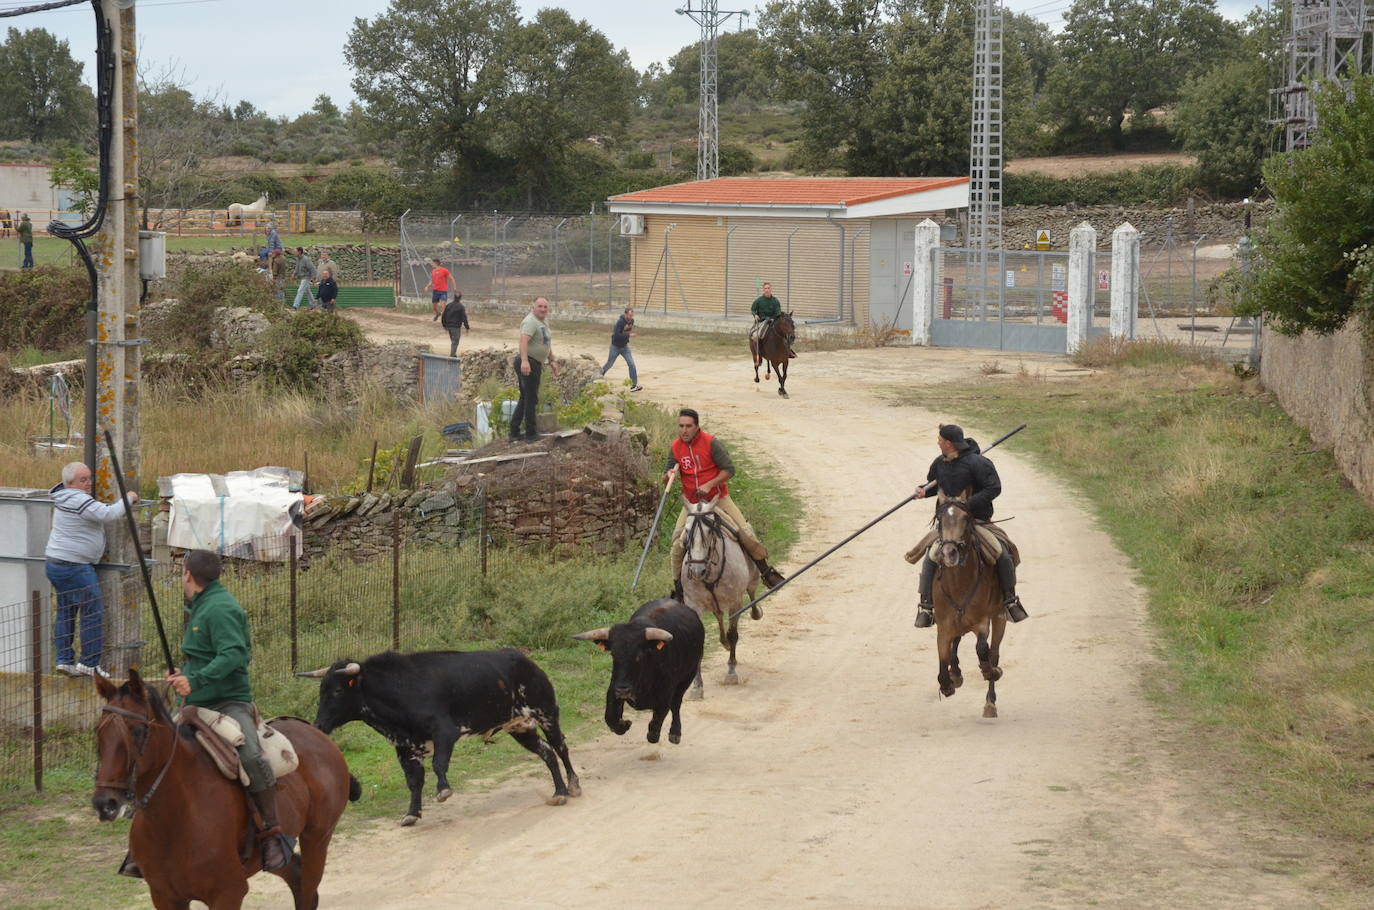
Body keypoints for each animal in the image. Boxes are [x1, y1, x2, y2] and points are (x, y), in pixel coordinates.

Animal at [92, 670, 359, 910]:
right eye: (99, 732)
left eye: (137, 731)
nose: (105, 804)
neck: (175, 818)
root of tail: (319, 736)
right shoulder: (164, 896)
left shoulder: (228, 893)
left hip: (317, 839)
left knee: (308, 889)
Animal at [300, 648, 579, 824]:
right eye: (321, 690)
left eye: (337, 691)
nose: (319, 724)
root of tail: (525, 660)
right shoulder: (405, 748)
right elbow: (414, 781)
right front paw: (411, 814)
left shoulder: (445, 732)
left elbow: (438, 764)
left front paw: (444, 790)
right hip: (520, 727)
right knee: (546, 752)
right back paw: (558, 792)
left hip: (546, 713)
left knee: (560, 747)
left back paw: (573, 786)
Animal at [678, 500, 763, 698]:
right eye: (686, 531)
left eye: (710, 531)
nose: (696, 571)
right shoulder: (695, 605)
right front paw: (697, 686)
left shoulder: (735, 603)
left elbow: (733, 635)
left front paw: (731, 673)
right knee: (718, 615)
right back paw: (723, 642)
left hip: (752, 576)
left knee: (752, 592)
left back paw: (756, 612)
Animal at [923, 492, 1011, 720]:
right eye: (940, 519)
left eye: (965, 519)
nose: (949, 553)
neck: (959, 582)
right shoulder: (944, 627)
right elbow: (943, 662)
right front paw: (949, 683)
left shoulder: (982, 621)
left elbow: (983, 650)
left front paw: (990, 671)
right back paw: (956, 673)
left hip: (999, 617)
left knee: (994, 653)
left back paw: (990, 703)